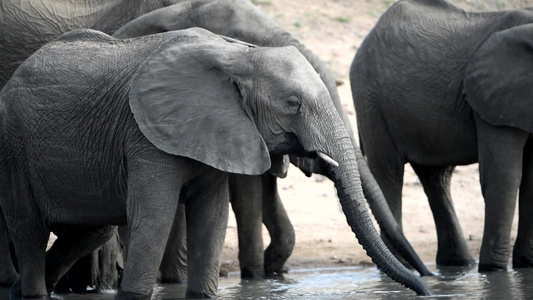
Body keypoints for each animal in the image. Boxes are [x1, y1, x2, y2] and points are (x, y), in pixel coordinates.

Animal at [350, 0, 532, 272]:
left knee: (436, 178)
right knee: (389, 173)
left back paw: (456, 264)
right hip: (372, 101)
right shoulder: (493, 100)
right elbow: (503, 175)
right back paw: (405, 267)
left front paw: (526, 265)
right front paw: (494, 271)